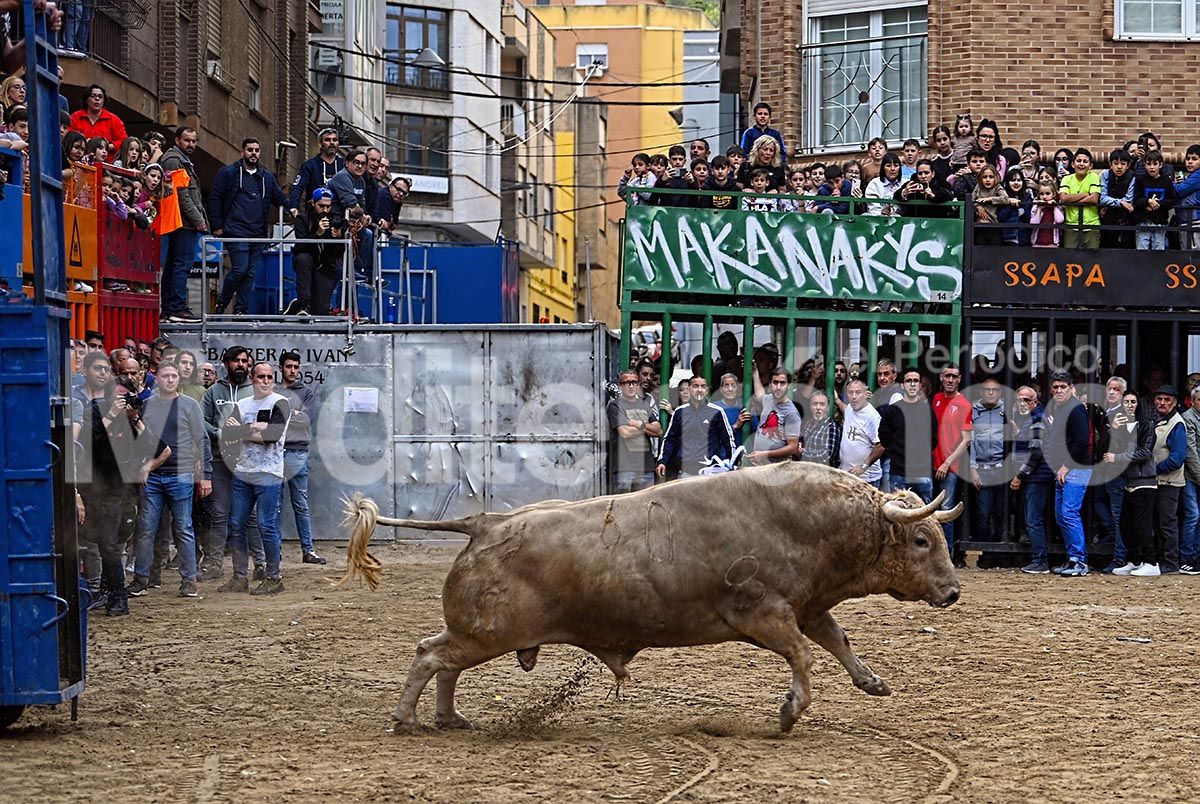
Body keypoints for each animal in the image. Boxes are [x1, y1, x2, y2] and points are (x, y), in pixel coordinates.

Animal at [343, 463, 960, 734]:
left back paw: (449, 717)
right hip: (486, 633)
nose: (953, 592)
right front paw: (789, 713)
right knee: (429, 655)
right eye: (922, 540)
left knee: (442, 661)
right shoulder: (765, 614)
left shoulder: (808, 609)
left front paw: (872, 682)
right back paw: (407, 719)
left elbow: (837, 640)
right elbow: (805, 656)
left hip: (478, 634)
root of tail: (486, 524)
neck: (810, 521)